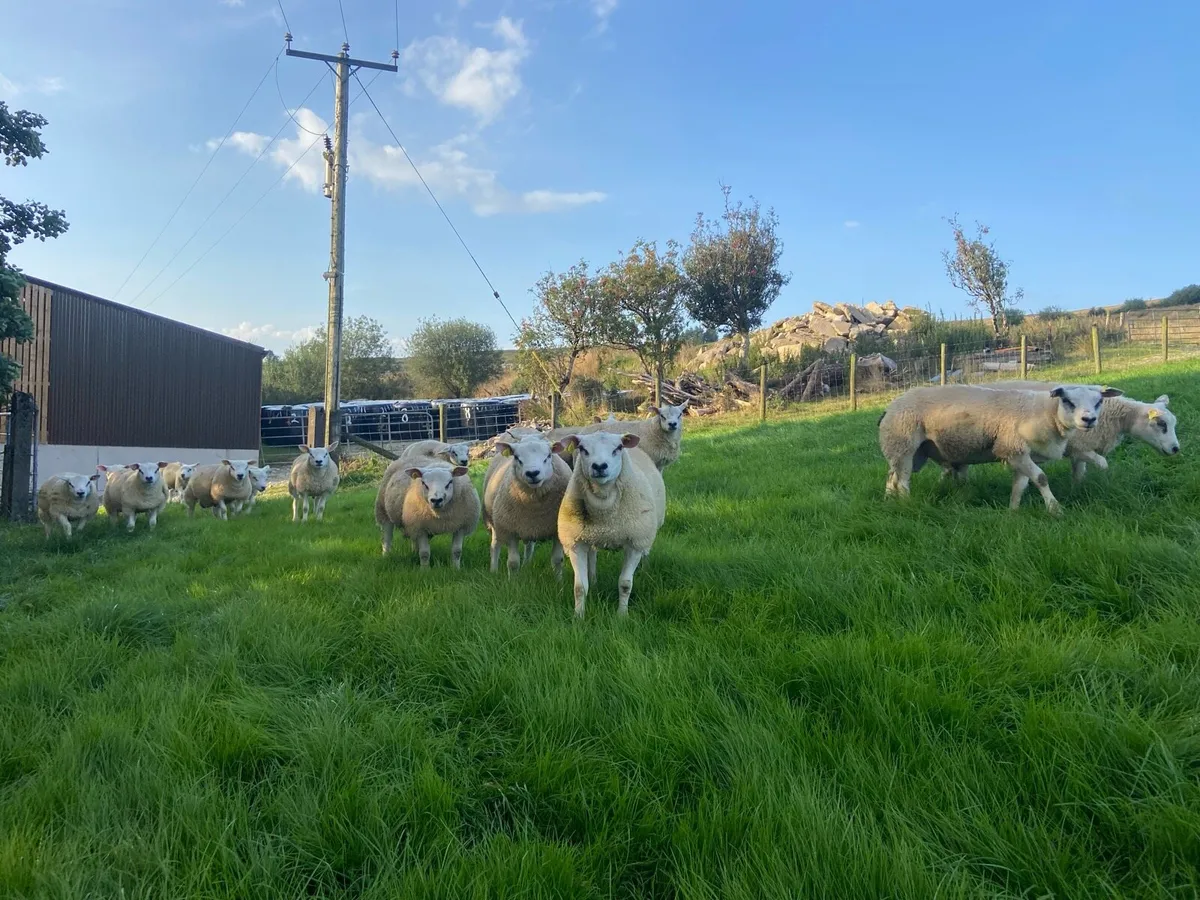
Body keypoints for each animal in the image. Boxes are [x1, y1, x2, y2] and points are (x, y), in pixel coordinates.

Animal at [482, 436, 571, 576]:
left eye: (548, 456)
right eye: (517, 457)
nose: (532, 473)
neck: (535, 507)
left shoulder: (556, 530)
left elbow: (557, 560)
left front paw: (559, 580)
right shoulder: (510, 530)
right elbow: (513, 563)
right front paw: (513, 580)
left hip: (527, 526)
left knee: (529, 546)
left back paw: (527, 565)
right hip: (495, 522)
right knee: (495, 546)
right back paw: (494, 570)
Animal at [557, 431, 666, 618]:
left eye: (618, 448)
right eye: (582, 448)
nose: (600, 466)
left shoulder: (634, 543)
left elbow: (625, 584)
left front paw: (622, 615)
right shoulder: (575, 543)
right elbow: (579, 587)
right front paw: (578, 616)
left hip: (646, 533)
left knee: (645, 552)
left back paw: (645, 571)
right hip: (590, 535)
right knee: (592, 556)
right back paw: (593, 580)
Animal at [878, 383, 1123, 514]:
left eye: (1099, 402)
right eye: (1068, 401)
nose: (1088, 420)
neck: (1043, 412)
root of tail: (889, 407)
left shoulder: (1019, 454)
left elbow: (1020, 485)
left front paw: (1013, 510)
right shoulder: (1012, 447)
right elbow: (1041, 478)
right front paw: (1055, 509)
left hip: (906, 452)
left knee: (892, 477)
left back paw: (888, 501)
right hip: (904, 445)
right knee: (903, 481)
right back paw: (907, 504)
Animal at [936, 382, 1180, 484]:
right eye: (1161, 424)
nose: (1176, 449)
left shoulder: (1079, 450)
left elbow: (1079, 472)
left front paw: (1077, 488)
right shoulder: (1079, 446)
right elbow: (1102, 464)